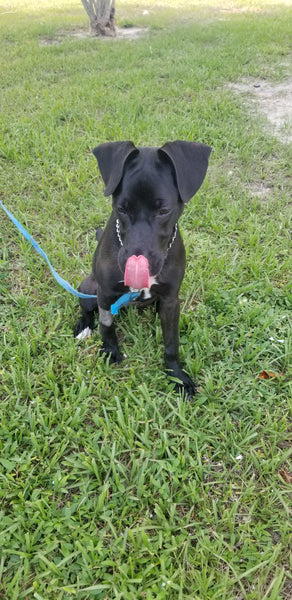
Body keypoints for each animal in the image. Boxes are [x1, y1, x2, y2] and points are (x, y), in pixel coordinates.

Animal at [74, 138, 212, 396]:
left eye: (164, 210)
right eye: (121, 209)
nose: (136, 264)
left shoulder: (171, 299)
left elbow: (171, 343)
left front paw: (176, 375)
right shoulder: (105, 293)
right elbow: (106, 327)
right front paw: (110, 352)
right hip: (88, 287)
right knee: (87, 309)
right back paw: (83, 326)